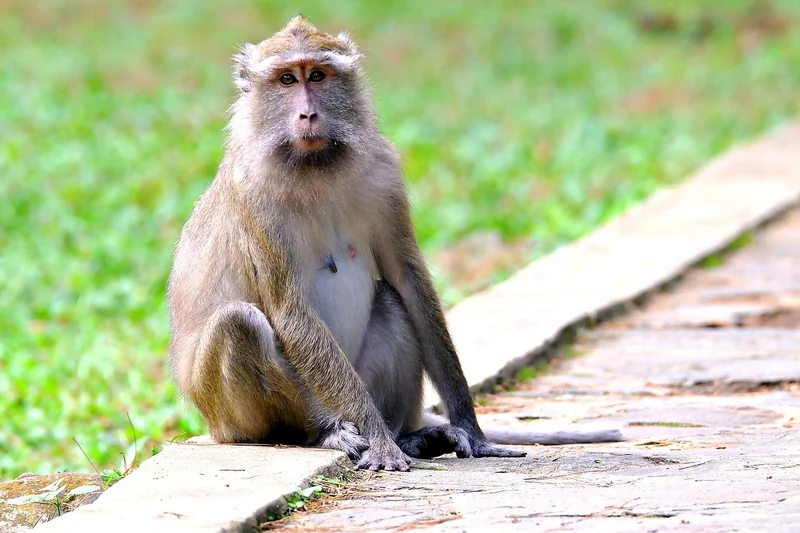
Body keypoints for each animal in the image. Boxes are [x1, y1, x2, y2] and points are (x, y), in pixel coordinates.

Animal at [166, 15, 620, 470]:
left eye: (318, 75)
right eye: (286, 79)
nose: (308, 112)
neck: (315, 167)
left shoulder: (385, 173)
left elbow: (408, 281)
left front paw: (469, 427)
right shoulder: (255, 197)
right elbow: (290, 311)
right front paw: (376, 440)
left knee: (389, 300)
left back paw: (412, 437)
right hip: (235, 417)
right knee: (237, 323)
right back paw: (324, 432)